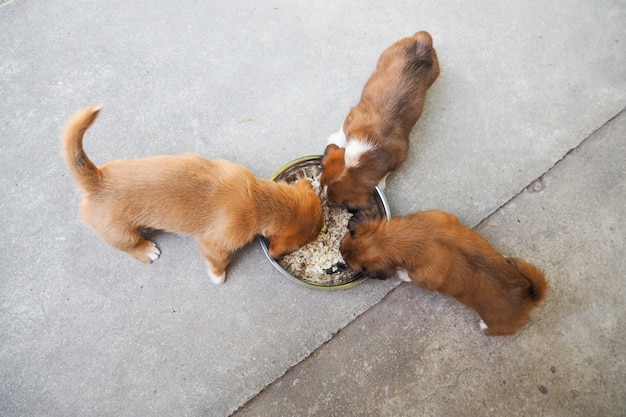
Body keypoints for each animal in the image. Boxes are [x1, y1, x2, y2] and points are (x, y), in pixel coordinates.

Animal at [62, 105, 322, 284]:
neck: (257, 199)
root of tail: (97, 181)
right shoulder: (215, 245)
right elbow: (219, 261)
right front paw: (218, 277)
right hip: (121, 234)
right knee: (130, 246)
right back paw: (146, 250)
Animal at [322, 31, 438, 211]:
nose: (324, 202)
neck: (366, 153)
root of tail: (422, 43)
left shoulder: (399, 156)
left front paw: (382, 181)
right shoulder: (352, 116)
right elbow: (342, 131)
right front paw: (336, 139)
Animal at [338, 211, 548, 334]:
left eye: (350, 264)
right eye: (341, 246)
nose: (340, 261)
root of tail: (528, 297)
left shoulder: (425, 277)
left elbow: (410, 275)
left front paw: (402, 274)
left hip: (499, 324)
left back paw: (484, 326)